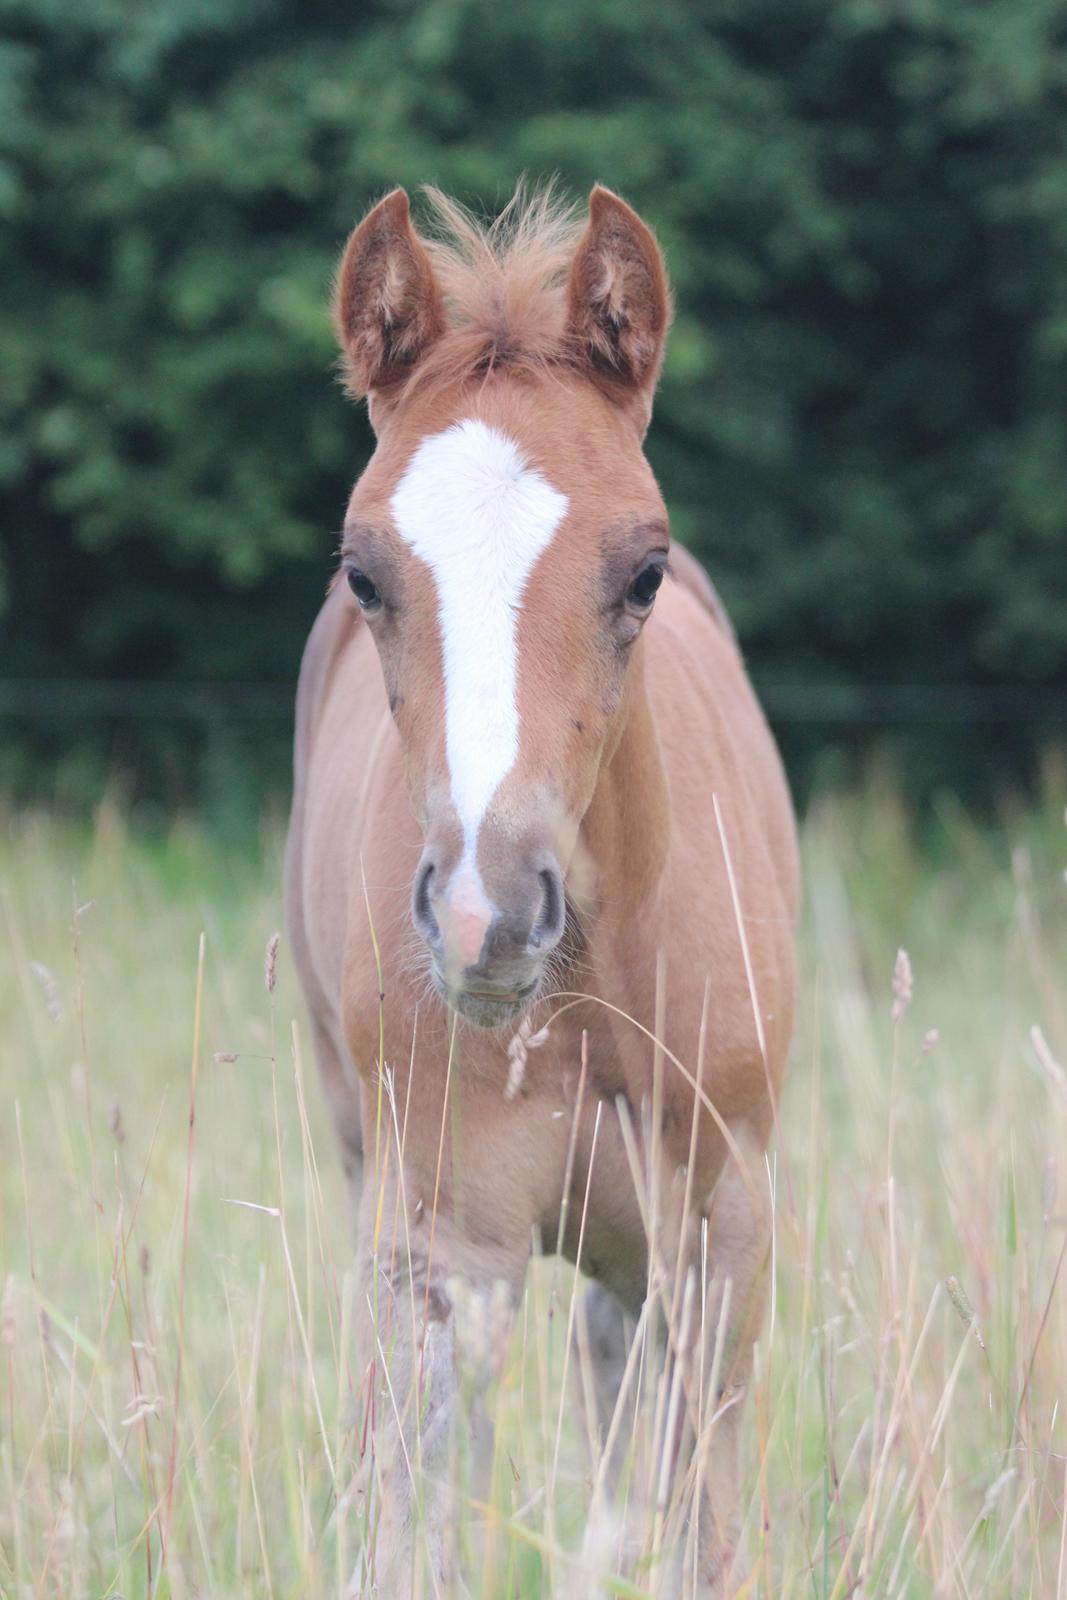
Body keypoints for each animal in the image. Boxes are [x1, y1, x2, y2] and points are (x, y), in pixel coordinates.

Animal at [287, 184, 796, 1587]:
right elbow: (415, 1524)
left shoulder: (721, 1231)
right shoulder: (444, 1250)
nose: (488, 914)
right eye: (364, 573)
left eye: (641, 571)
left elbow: (705, 1524)